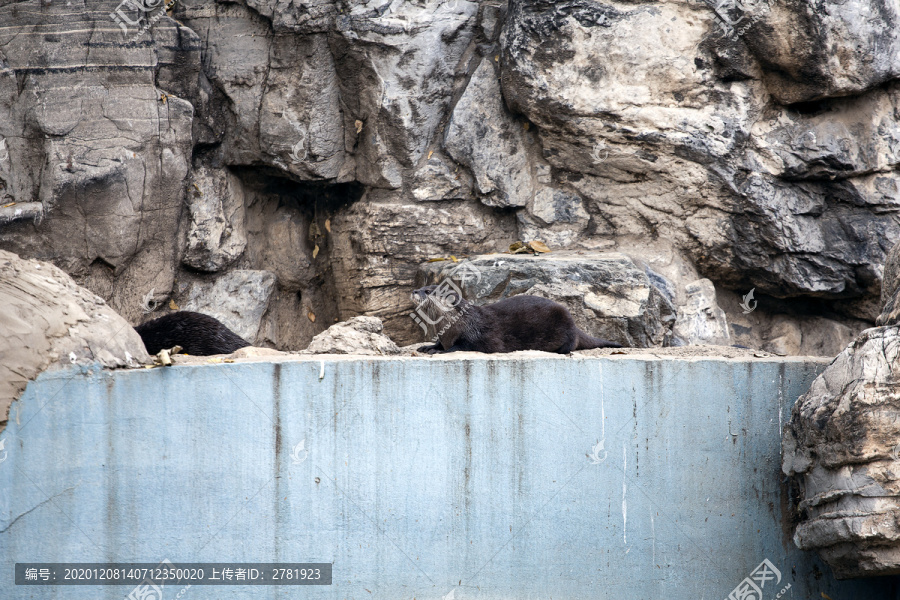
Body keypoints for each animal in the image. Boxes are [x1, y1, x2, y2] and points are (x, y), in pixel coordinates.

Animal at [412, 284, 624, 354]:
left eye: (428, 291)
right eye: (422, 287)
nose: (414, 290)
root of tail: (575, 324)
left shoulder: (482, 336)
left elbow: (466, 346)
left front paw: (440, 351)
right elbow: (439, 343)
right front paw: (429, 347)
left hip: (566, 324)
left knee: (571, 344)